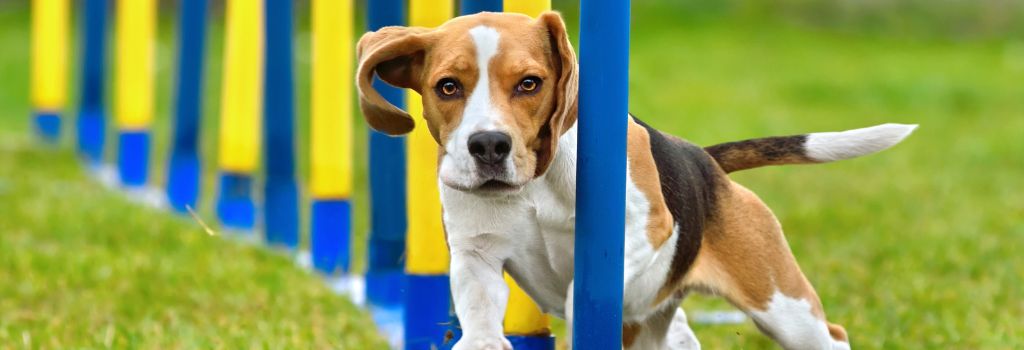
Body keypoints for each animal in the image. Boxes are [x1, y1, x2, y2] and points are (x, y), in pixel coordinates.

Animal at [356, 10, 917, 350]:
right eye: (447, 87)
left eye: (530, 83)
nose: (489, 146)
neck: (535, 184)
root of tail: (705, 161)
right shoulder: (477, 254)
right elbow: (478, 313)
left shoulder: (639, 231)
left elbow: (582, 294)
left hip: (783, 305)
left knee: (830, 334)